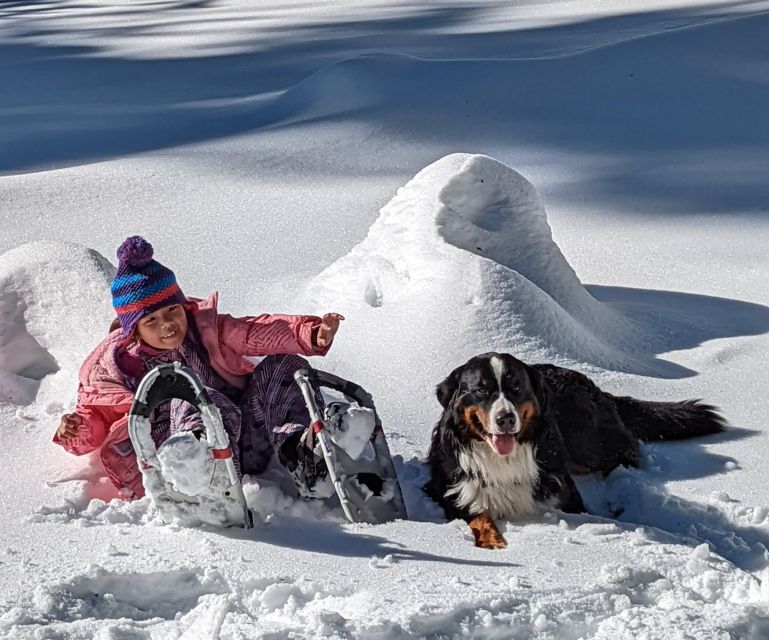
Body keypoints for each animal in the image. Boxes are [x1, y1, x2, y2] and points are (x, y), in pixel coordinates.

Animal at [426, 352, 728, 548]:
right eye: (480, 390)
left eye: (516, 387)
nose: (506, 419)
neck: (504, 461)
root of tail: (597, 388)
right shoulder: (455, 495)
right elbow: (481, 518)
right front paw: (492, 541)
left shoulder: (566, 496)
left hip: (589, 446)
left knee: (624, 458)